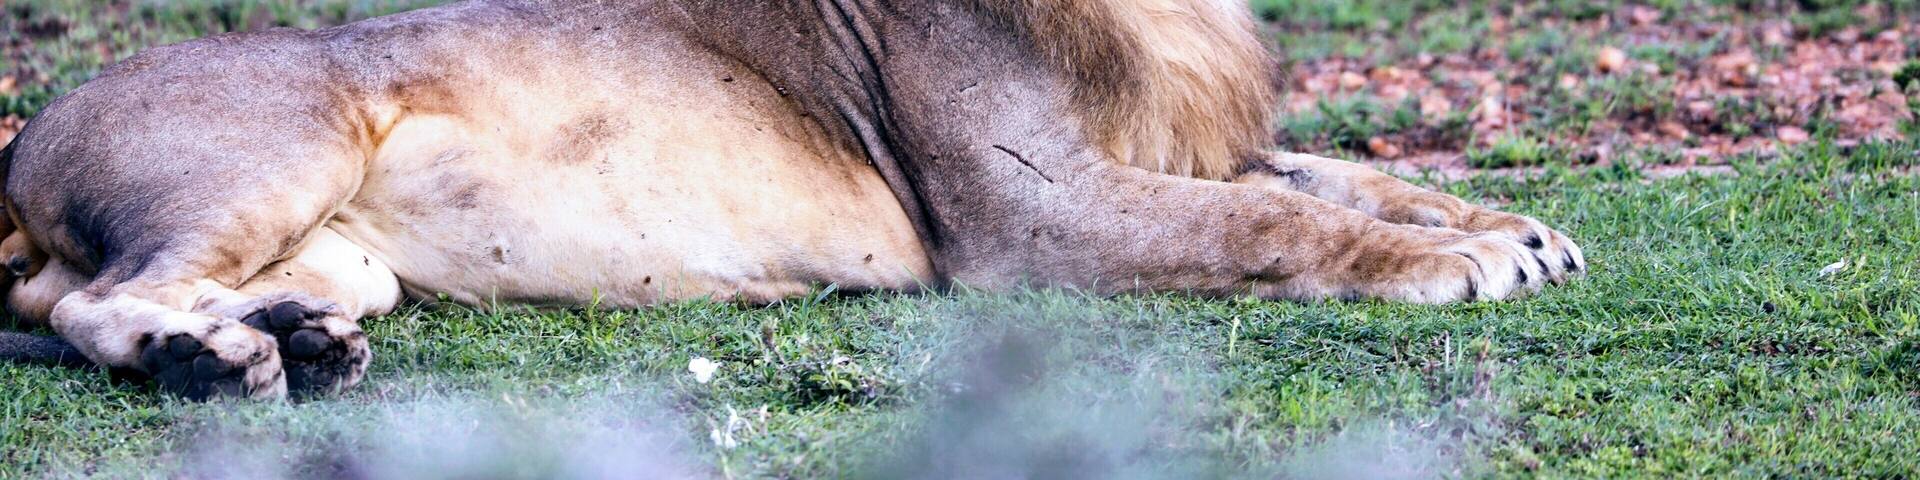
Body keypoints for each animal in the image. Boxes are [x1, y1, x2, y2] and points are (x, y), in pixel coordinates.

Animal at [0, 0, 1583, 400]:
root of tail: (23, 146)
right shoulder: (1023, 220)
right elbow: (1278, 220)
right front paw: (1464, 265)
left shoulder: (1171, 147)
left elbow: (1355, 172)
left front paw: (1519, 229)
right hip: (287, 145)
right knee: (98, 301)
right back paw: (215, 362)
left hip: (350, 256)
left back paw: (301, 345)